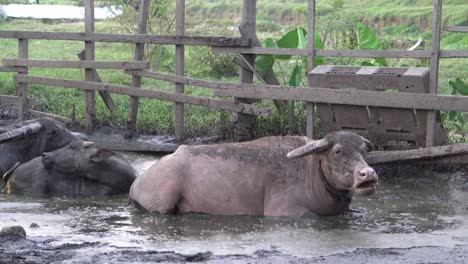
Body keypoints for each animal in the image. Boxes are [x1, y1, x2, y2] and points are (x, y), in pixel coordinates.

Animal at [130, 131, 378, 217]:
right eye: (338, 151)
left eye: (363, 149)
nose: (368, 174)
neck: (312, 172)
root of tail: (138, 181)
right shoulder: (284, 211)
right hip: (162, 204)